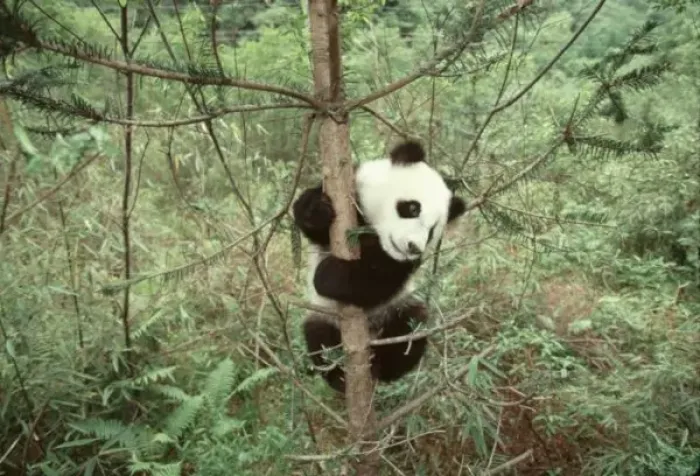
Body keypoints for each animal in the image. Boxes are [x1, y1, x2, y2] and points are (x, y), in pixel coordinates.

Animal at [292, 140, 467, 393]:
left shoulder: (397, 263)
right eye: (413, 208)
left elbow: (377, 280)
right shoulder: (354, 190)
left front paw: (328, 275)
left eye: (432, 231)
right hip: (324, 313)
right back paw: (340, 375)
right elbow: (311, 219)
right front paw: (318, 211)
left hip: (397, 308)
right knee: (319, 336)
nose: (413, 247)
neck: (376, 233)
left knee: (412, 324)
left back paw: (382, 364)